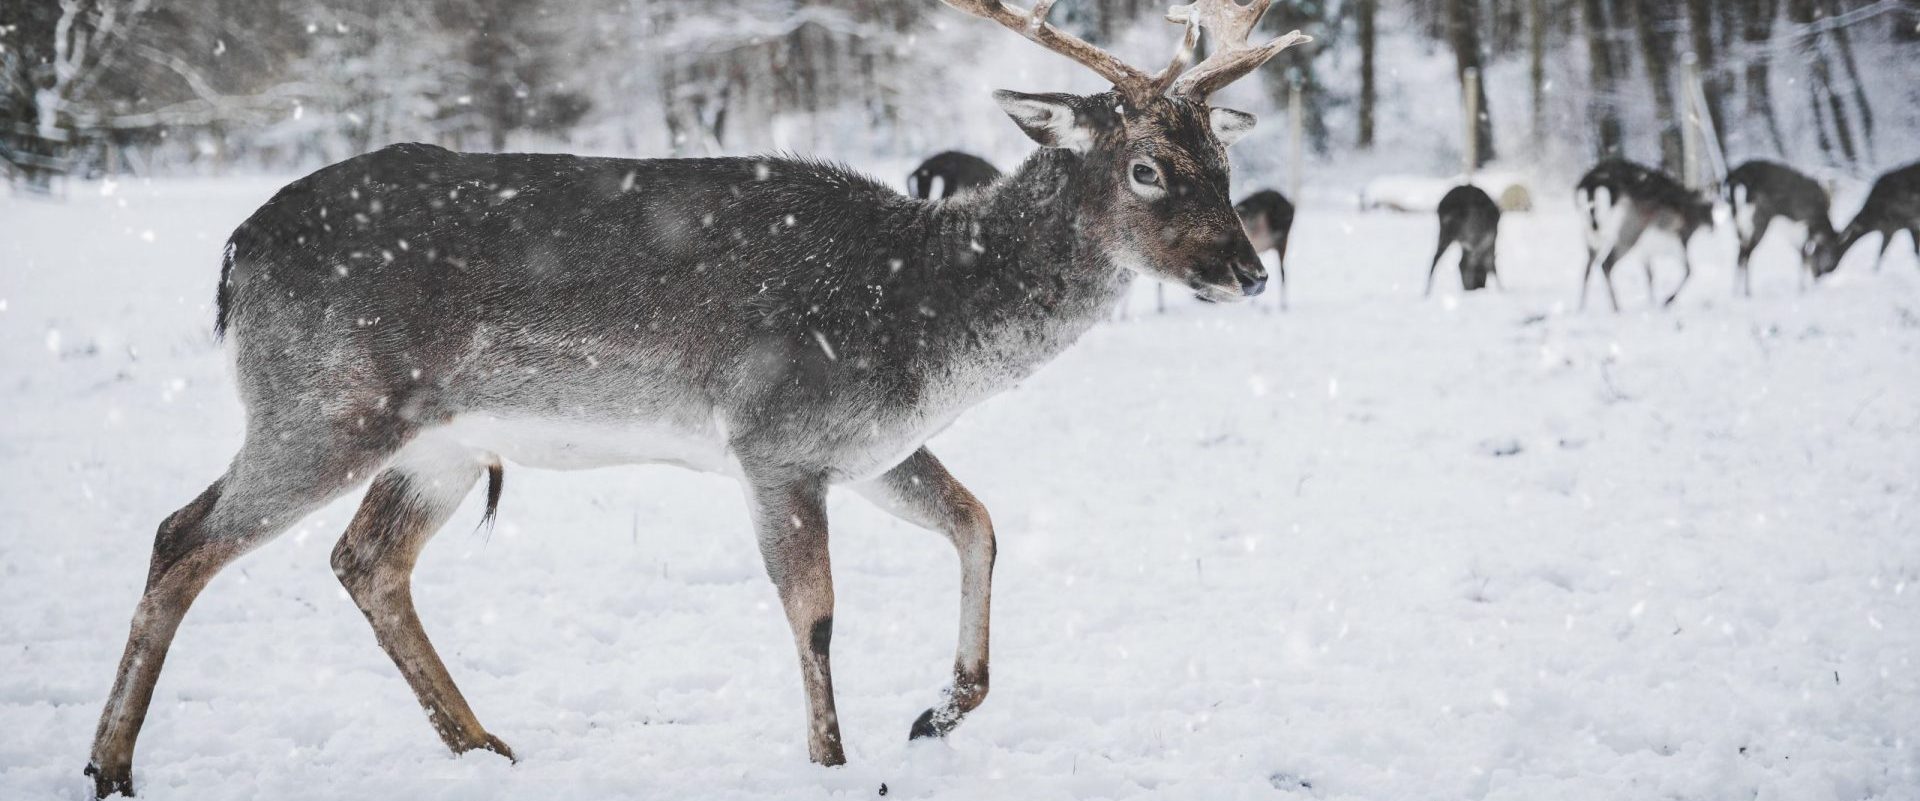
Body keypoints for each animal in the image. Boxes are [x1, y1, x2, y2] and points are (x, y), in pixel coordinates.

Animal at [74, 3, 1305, 795]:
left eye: (1223, 162)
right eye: (1146, 167)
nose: (1246, 271)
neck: (924, 320)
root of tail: (235, 251)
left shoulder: (871, 448)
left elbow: (981, 523)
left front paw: (937, 710)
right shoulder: (776, 435)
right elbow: (814, 611)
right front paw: (832, 762)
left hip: (440, 444)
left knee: (364, 559)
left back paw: (487, 750)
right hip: (325, 402)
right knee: (183, 534)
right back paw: (112, 765)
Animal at [1574, 157, 1712, 311]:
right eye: (1710, 210)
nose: (1713, 227)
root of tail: (1592, 186)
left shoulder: (1645, 253)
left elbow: (1650, 276)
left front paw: (1653, 303)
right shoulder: (1677, 242)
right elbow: (1689, 270)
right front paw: (1666, 301)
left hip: (1589, 235)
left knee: (1587, 267)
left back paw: (1580, 307)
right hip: (1627, 235)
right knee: (1606, 264)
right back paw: (1618, 308)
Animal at [1728, 159, 1843, 293]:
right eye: (1833, 252)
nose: (1824, 273)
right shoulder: (1805, 233)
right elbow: (1805, 259)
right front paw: (1803, 290)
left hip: (1738, 224)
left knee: (1740, 256)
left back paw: (1737, 292)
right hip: (1757, 224)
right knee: (1746, 256)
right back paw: (1748, 292)